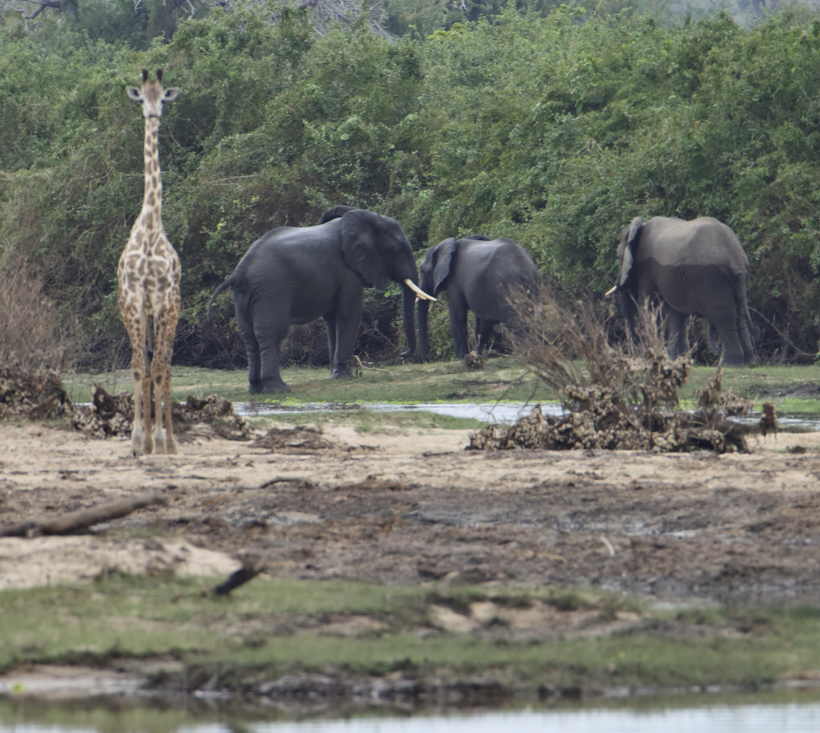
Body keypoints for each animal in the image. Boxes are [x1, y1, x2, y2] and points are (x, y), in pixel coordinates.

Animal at [205, 206, 436, 392]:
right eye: (398, 249)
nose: (404, 355)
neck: (369, 219)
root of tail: (239, 272)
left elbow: (332, 320)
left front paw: (337, 376)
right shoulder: (348, 272)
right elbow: (349, 314)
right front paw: (345, 376)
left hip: (244, 296)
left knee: (249, 337)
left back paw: (255, 389)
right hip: (272, 290)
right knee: (271, 334)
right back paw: (279, 389)